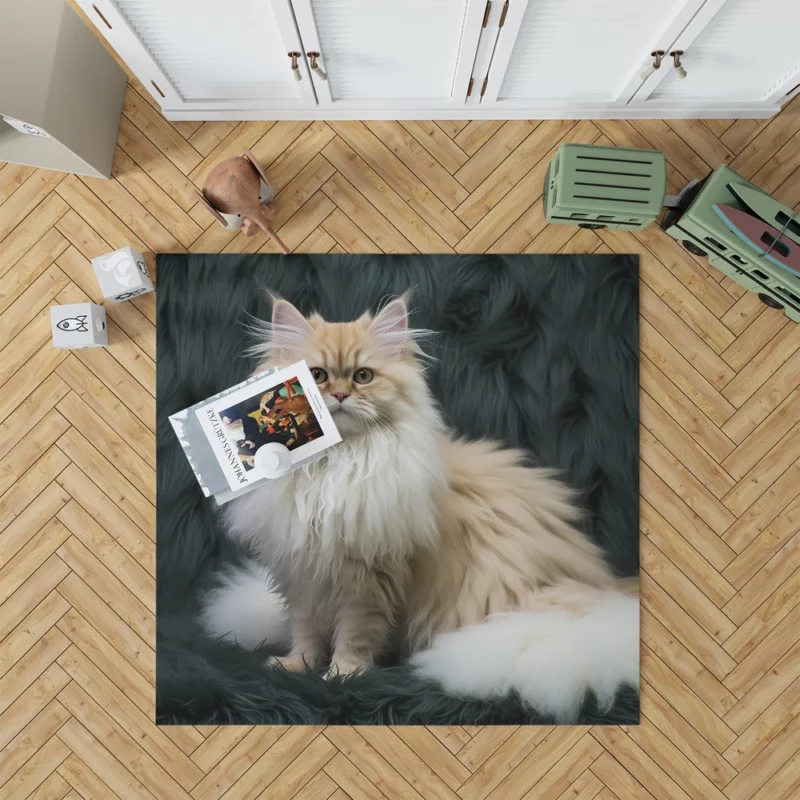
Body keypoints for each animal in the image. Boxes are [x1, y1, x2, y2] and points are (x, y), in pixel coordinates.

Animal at [203, 296, 640, 720]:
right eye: (320, 376)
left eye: (363, 377)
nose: (340, 396)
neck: (336, 463)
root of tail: (598, 586)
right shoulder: (301, 573)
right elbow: (306, 632)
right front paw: (296, 667)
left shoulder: (367, 579)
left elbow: (355, 635)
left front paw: (342, 674)